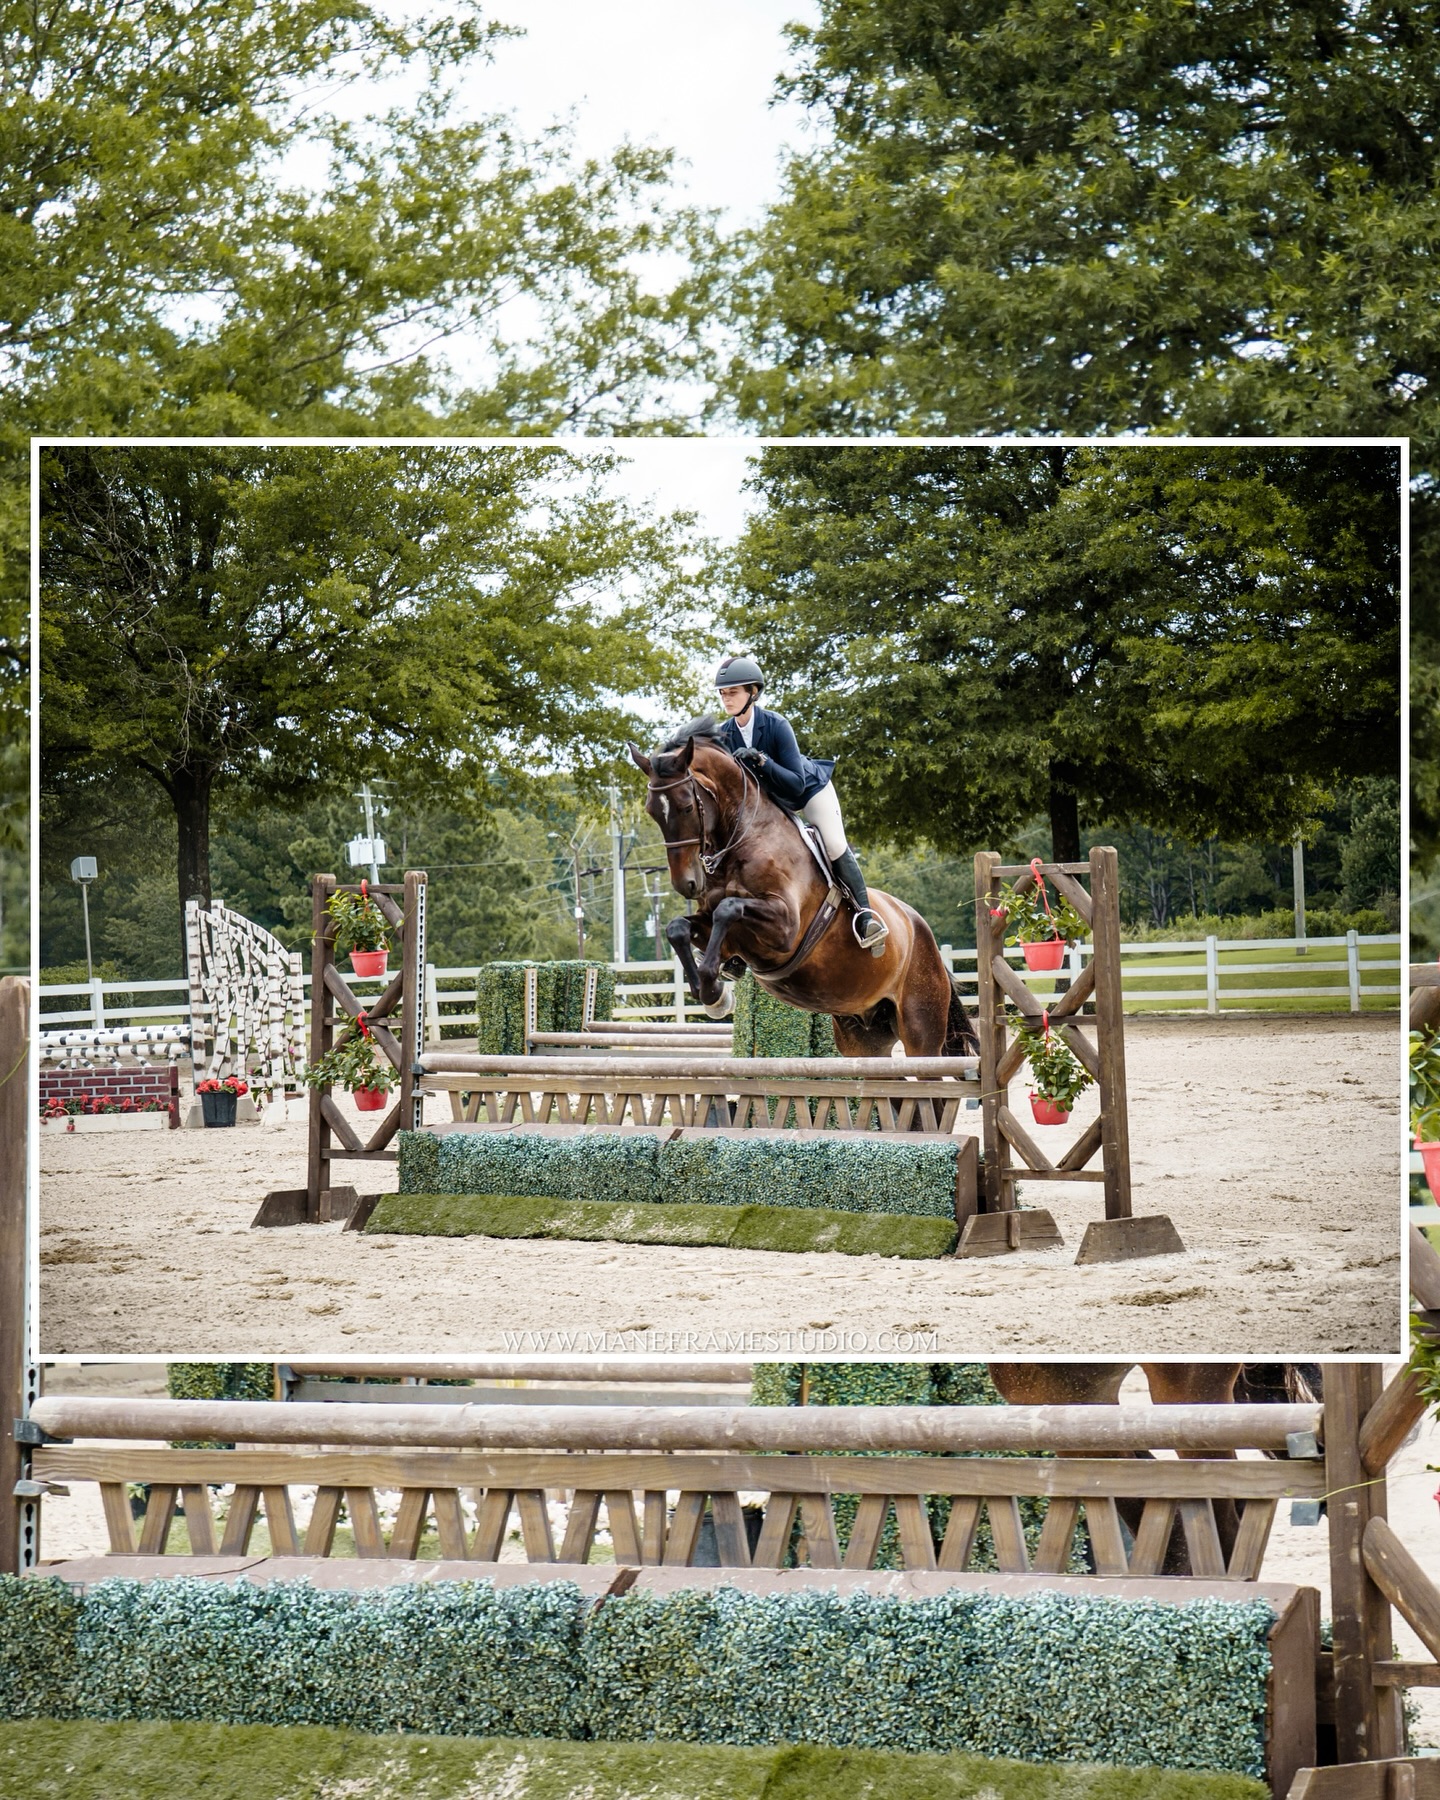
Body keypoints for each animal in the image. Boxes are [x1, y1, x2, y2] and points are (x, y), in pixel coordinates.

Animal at [628, 718, 978, 1057]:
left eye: (687, 806)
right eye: (650, 811)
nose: (686, 884)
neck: (743, 840)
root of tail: (923, 932)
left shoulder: (784, 928)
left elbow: (729, 909)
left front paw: (711, 985)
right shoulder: (723, 932)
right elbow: (678, 928)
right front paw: (712, 994)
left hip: (921, 1028)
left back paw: (869, 926)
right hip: (863, 1037)